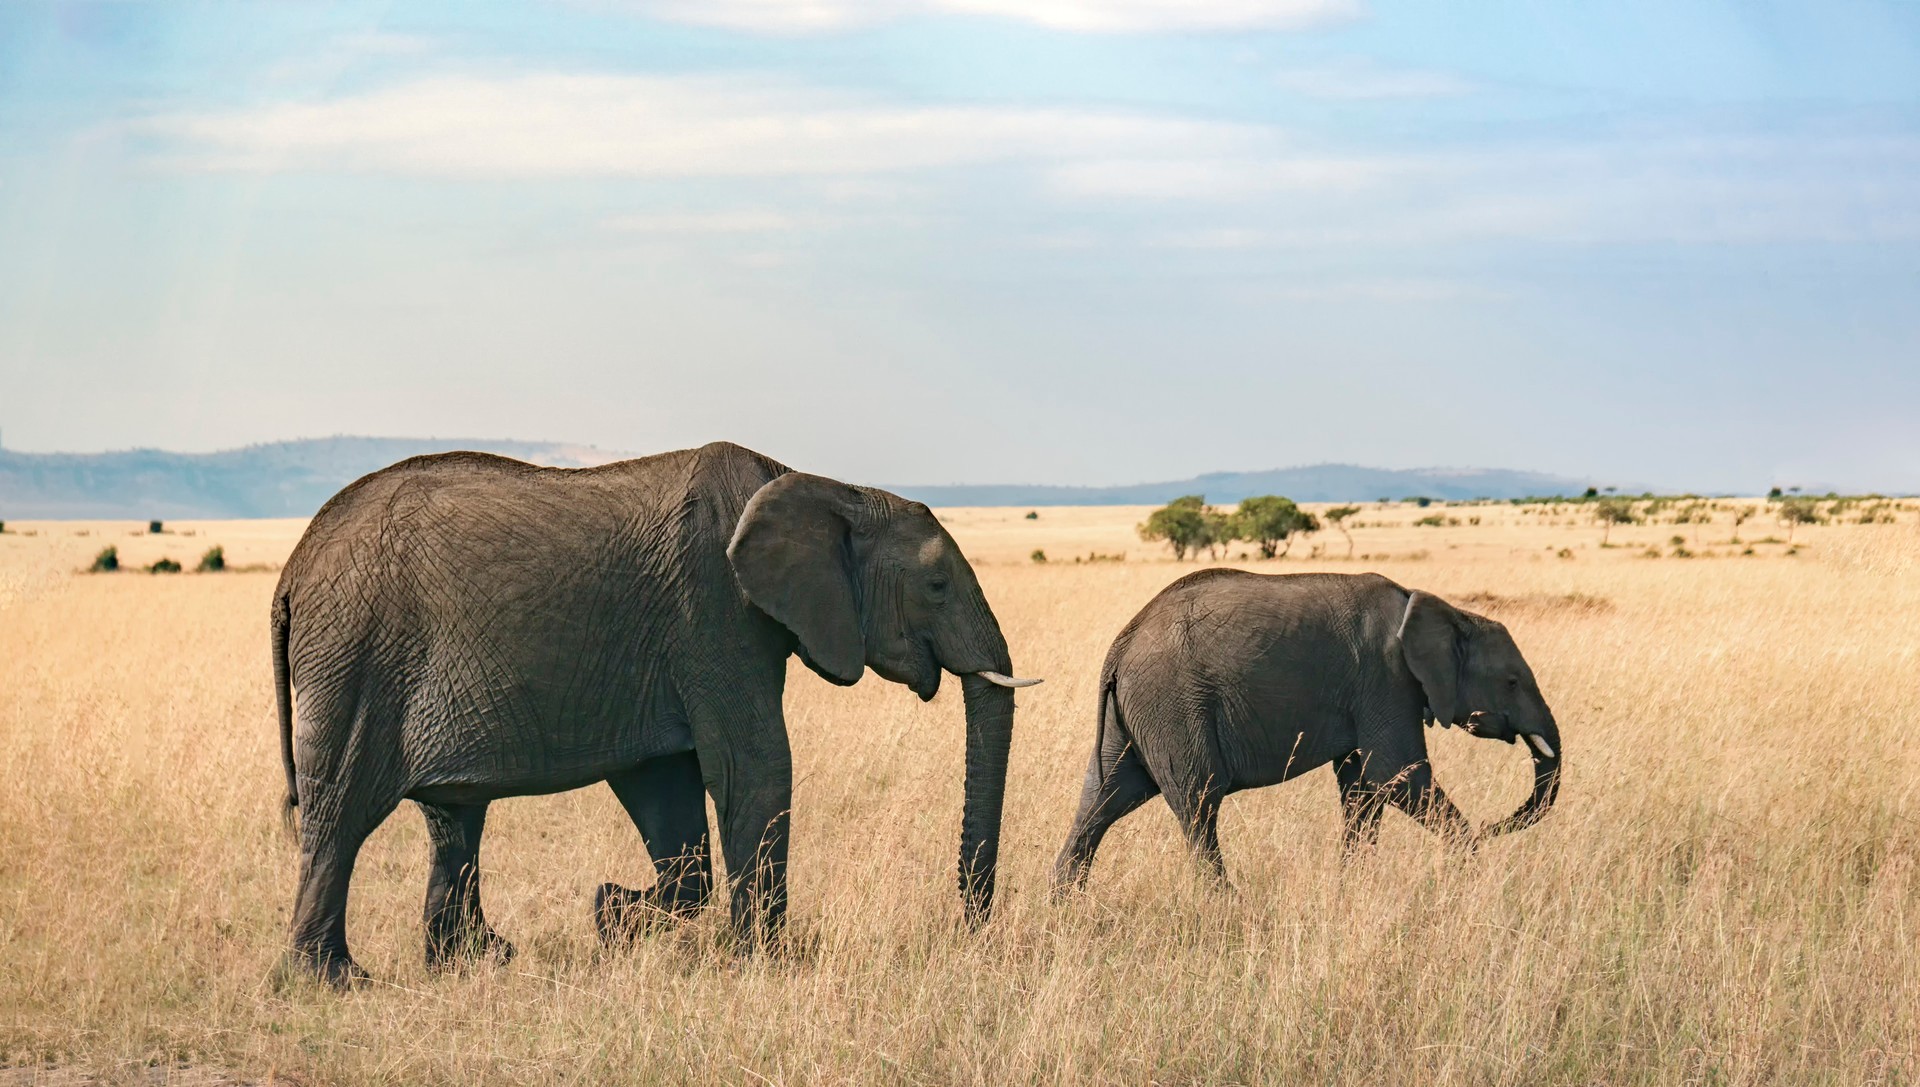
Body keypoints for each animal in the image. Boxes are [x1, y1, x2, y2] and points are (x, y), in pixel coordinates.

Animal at [270, 441, 1036, 990]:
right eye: (935, 586)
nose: (968, 930)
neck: (827, 487)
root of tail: (291, 570)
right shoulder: (715, 610)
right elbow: (754, 768)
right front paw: (766, 963)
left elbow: (668, 789)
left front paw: (612, 914)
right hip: (357, 659)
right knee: (340, 814)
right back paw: (336, 981)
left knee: (453, 817)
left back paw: (477, 961)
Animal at [1052, 572, 1559, 894]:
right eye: (1512, 682)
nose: (1495, 826)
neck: (1440, 609)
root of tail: (1121, 643)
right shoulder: (1387, 679)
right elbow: (1397, 774)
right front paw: (1470, 868)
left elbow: (1362, 788)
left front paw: (1353, 886)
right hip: (1172, 705)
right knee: (1198, 803)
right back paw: (1228, 905)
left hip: (1137, 714)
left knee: (1101, 800)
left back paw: (1065, 905)